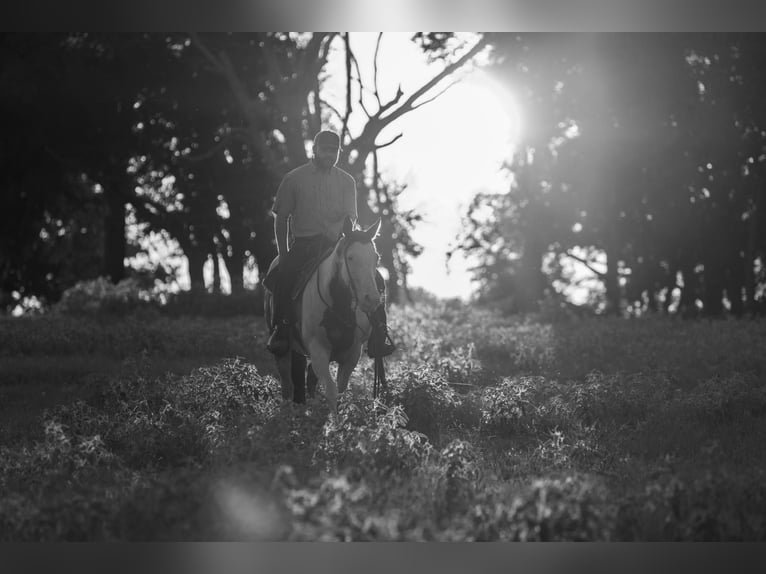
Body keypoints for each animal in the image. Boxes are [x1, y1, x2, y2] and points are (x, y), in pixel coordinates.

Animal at [263, 216, 384, 416]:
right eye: (350, 257)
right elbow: (331, 391)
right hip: (283, 346)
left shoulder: (352, 354)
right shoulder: (318, 349)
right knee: (287, 381)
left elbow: (340, 391)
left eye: (376, 258)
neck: (339, 305)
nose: (371, 299)